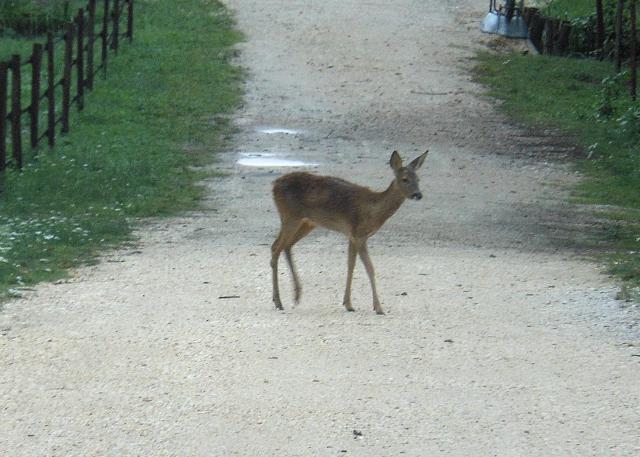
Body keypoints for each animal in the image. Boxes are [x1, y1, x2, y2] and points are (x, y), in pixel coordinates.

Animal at [268, 150, 428, 314]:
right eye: (405, 179)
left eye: (418, 179)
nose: (418, 194)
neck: (373, 211)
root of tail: (274, 185)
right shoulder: (360, 234)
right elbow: (370, 268)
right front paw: (378, 307)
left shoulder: (352, 235)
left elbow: (351, 265)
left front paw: (348, 304)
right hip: (290, 216)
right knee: (276, 247)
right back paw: (278, 301)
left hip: (308, 222)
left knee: (286, 246)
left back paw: (296, 295)